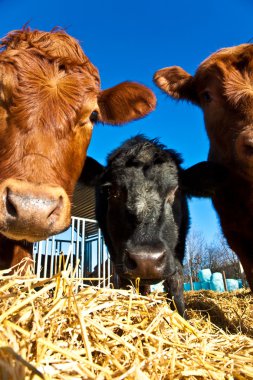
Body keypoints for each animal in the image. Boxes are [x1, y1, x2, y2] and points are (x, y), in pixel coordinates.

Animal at [80, 135, 226, 316]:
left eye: (176, 190)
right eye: (112, 191)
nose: (146, 260)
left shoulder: (178, 252)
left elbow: (175, 284)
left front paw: (182, 316)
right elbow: (128, 284)